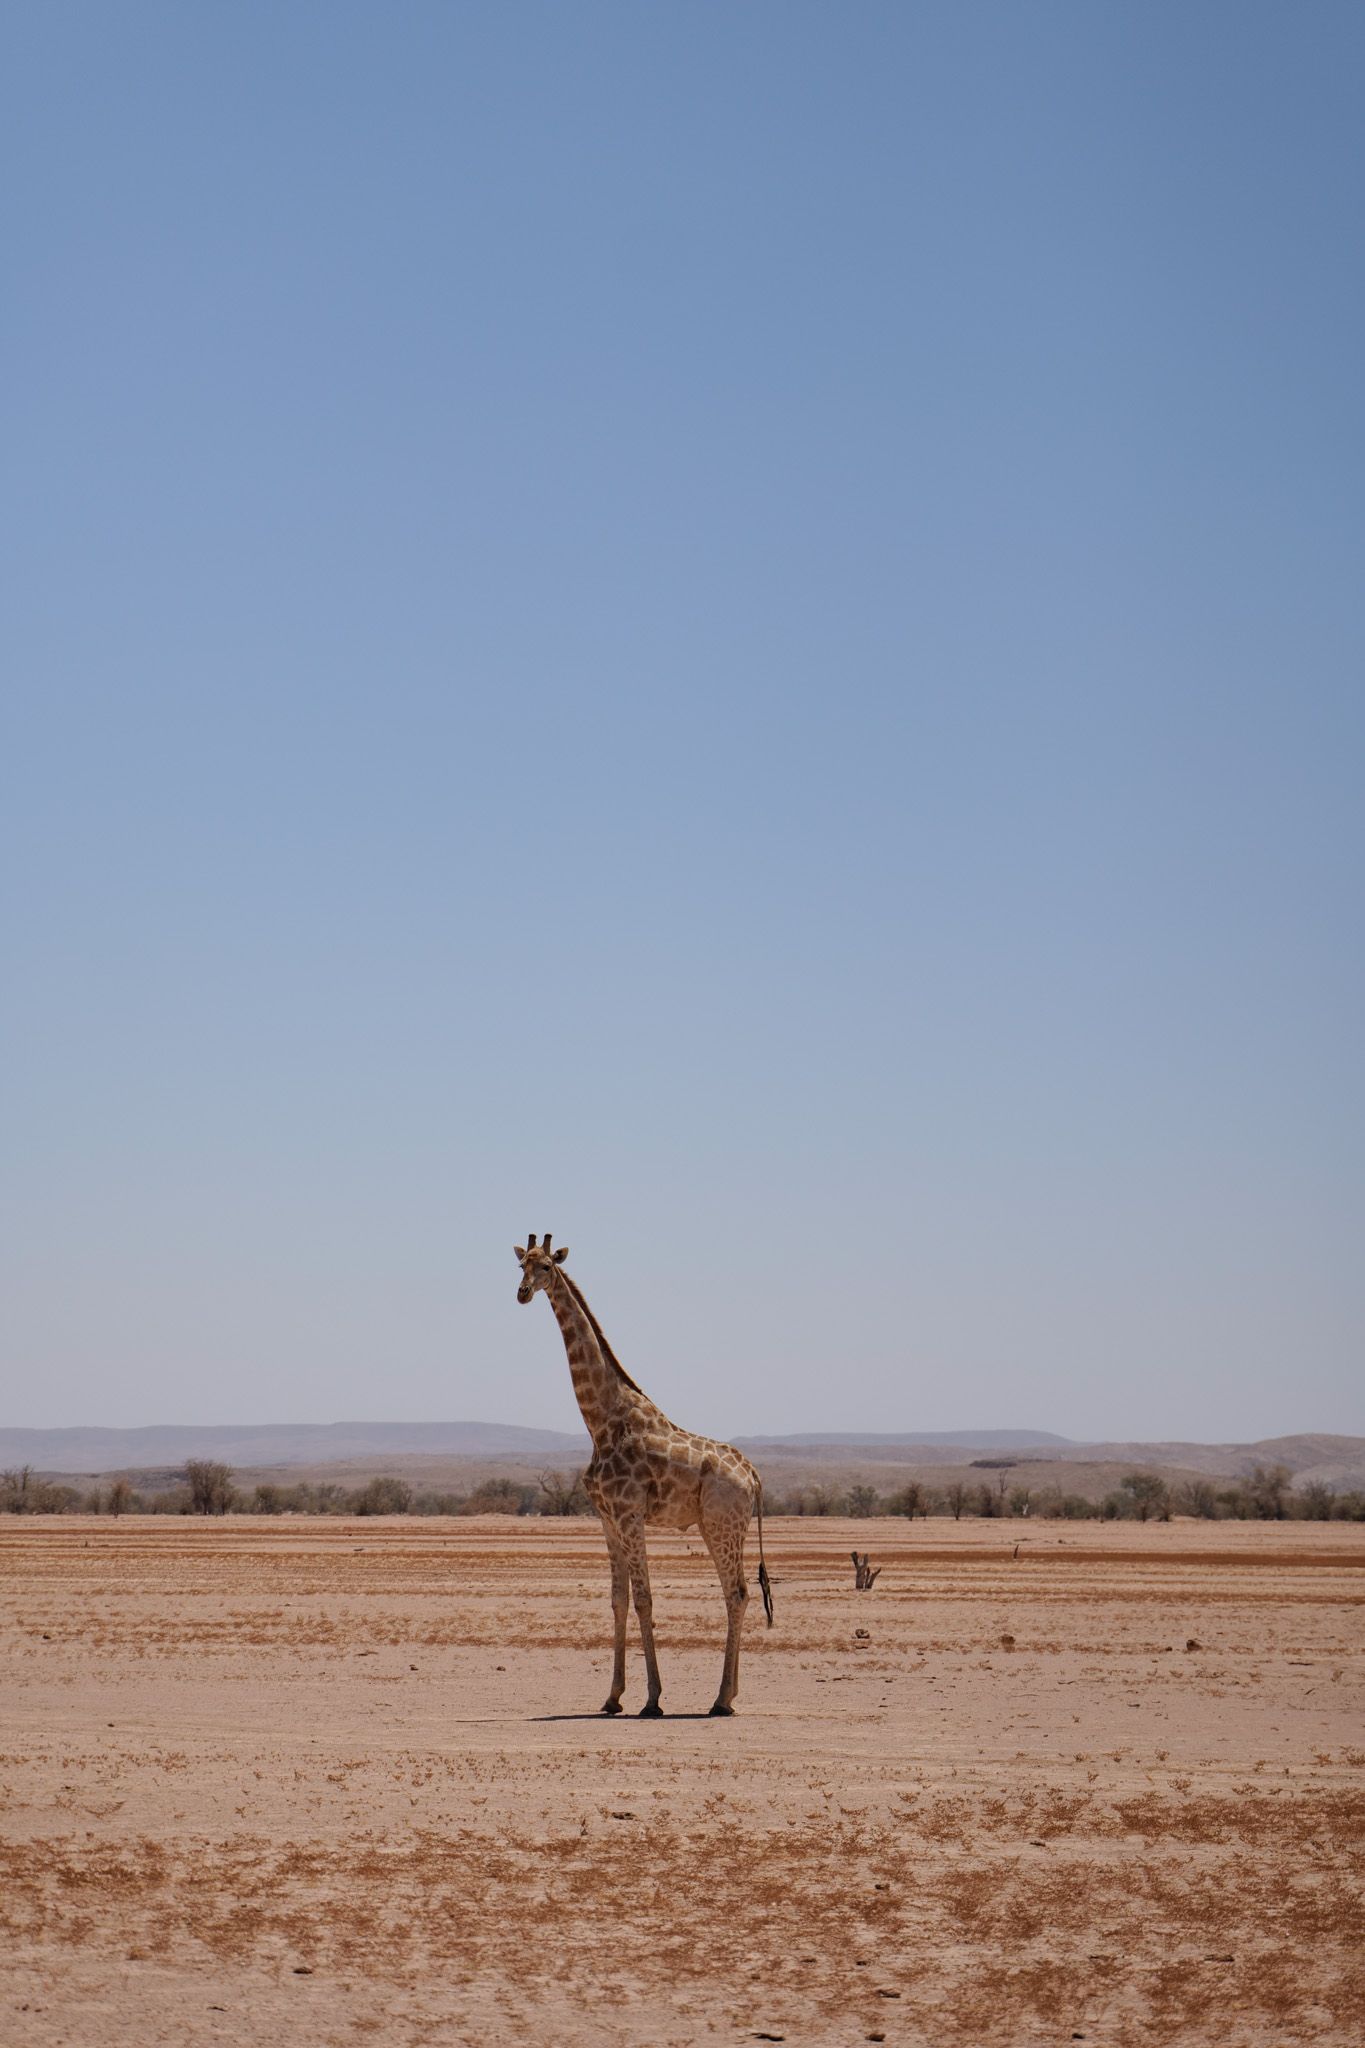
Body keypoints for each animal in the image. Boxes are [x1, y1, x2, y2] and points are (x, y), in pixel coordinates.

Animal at [515, 1233, 773, 1717]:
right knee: (742, 1591)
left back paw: (720, 1700)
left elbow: (644, 1599)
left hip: (722, 1524)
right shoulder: (607, 1519)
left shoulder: (630, 1514)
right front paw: (613, 1696)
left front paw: (652, 1699)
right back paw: (727, 1696)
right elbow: (618, 1601)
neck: (600, 1420)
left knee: (737, 1593)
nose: (521, 1293)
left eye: (546, 1268)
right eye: (521, 1264)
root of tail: (752, 1475)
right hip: (723, 1526)